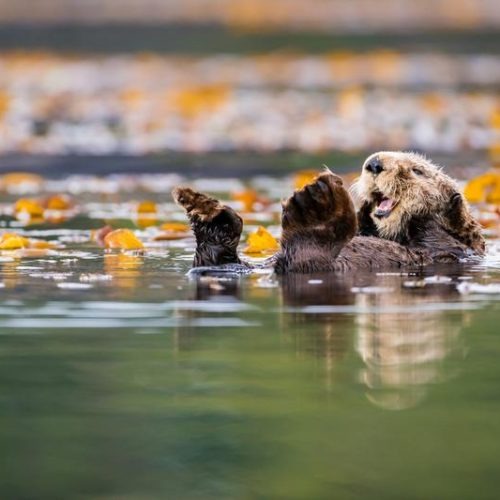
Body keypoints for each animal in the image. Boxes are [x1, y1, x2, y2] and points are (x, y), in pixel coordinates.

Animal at [173, 152, 484, 276]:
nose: (374, 163)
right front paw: (365, 210)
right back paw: (205, 210)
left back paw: (314, 205)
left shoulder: (449, 248)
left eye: (417, 170)